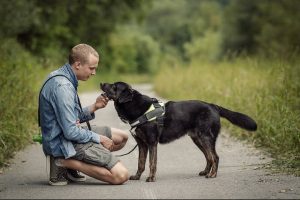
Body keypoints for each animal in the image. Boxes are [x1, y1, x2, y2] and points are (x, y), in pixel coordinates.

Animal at [99, 81, 256, 181]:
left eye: (114, 86)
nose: (101, 83)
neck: (136, 107)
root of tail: (213, 106)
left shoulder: (152, 143)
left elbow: (151, 163)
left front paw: (151, 178)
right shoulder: (142, 145)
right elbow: (141, 163)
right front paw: (137, 177)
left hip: (205, 137)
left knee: (215, 157)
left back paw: (212, 175)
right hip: (197, 139)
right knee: (208, 157)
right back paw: (206, 171)